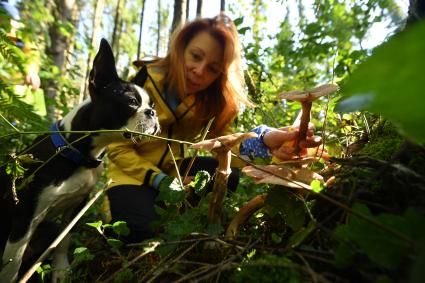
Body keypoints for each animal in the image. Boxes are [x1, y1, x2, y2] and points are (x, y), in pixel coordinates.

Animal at [0, 38, 159, 282]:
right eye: (131, 101)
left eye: (152, 105)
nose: (153, 113)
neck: (76, 152)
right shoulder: (24, 218)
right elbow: (12, 266)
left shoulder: (77, 205)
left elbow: (63, 240)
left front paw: (61, 270)